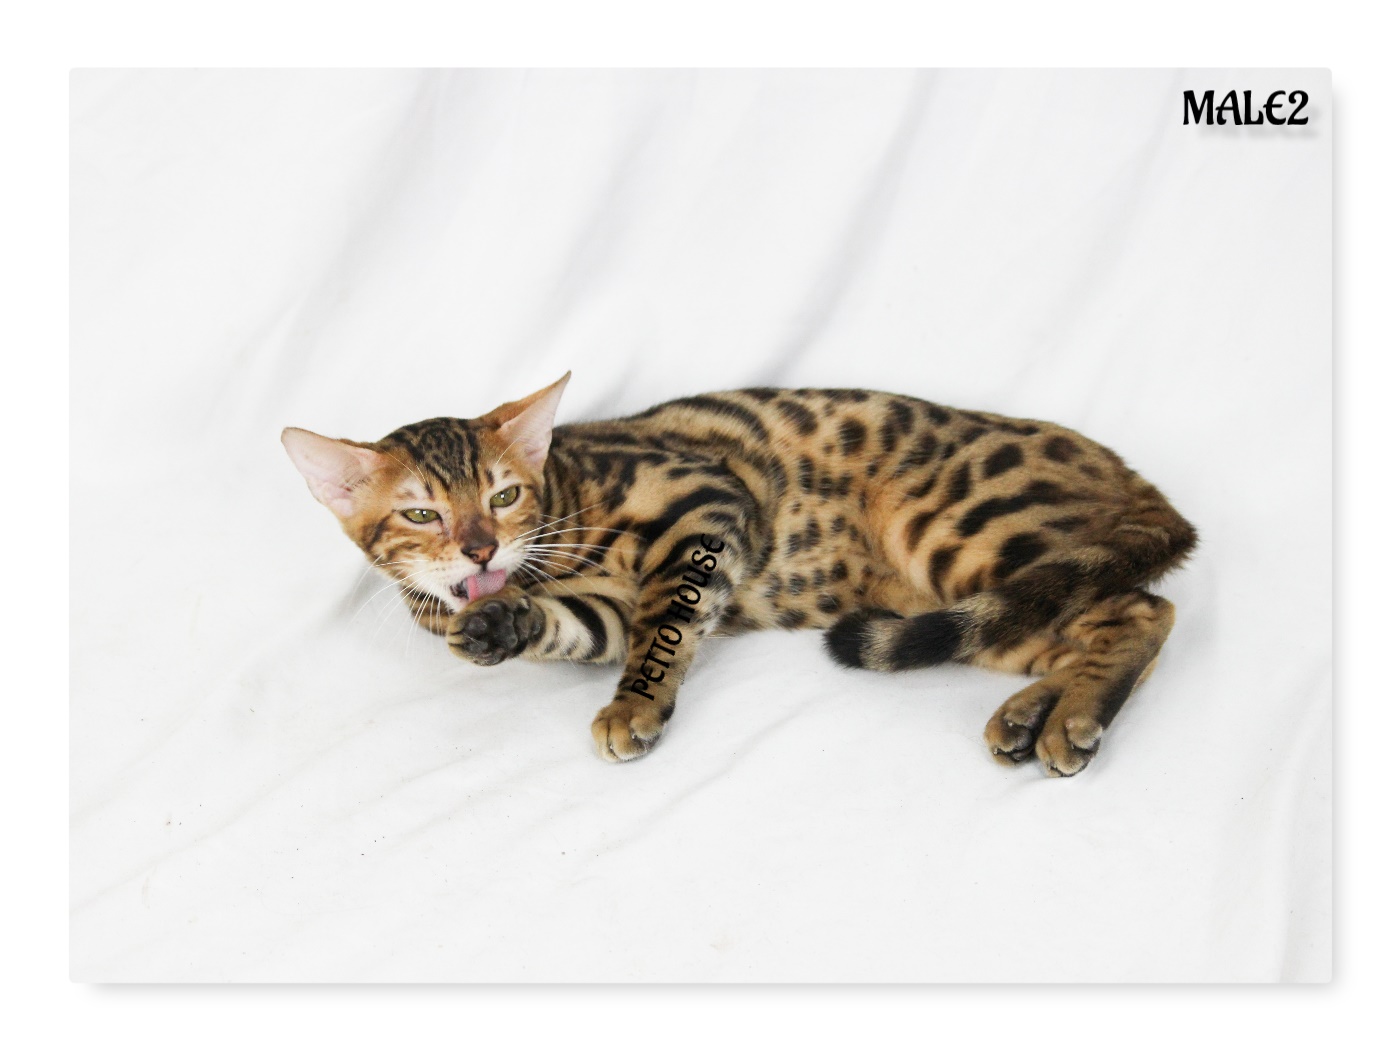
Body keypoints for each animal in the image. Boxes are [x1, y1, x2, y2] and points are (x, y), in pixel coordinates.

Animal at [282, 373, 1196, 776]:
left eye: (504, 495)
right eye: (421, 515)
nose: (479, 551)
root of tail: (1134, 478)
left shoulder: (705, 505)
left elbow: (665, 626)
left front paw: (635, 709)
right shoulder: (595, 613)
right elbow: (574, 625)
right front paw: (498, 625)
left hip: (958, 533)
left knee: (1144, 610)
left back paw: (1069, 720)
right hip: (977, 600)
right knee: (1116, 616)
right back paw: (1038, 714)